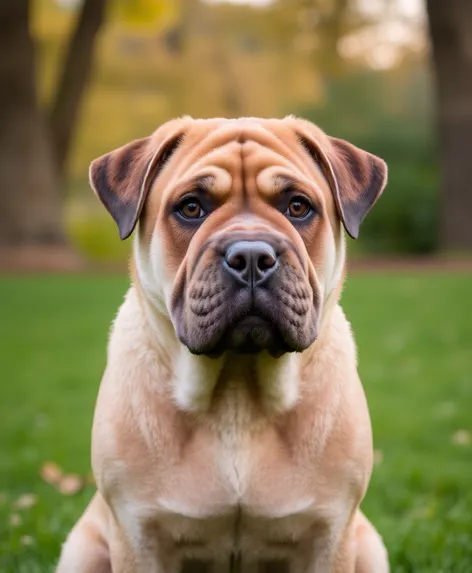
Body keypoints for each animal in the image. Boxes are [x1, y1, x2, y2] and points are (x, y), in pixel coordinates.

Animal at [56, 116, 388, 572]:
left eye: (298, 207)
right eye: (191, 207)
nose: (250, 256)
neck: (236, 394)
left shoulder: (331, 533)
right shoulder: (138, 535)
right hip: (82, 549)